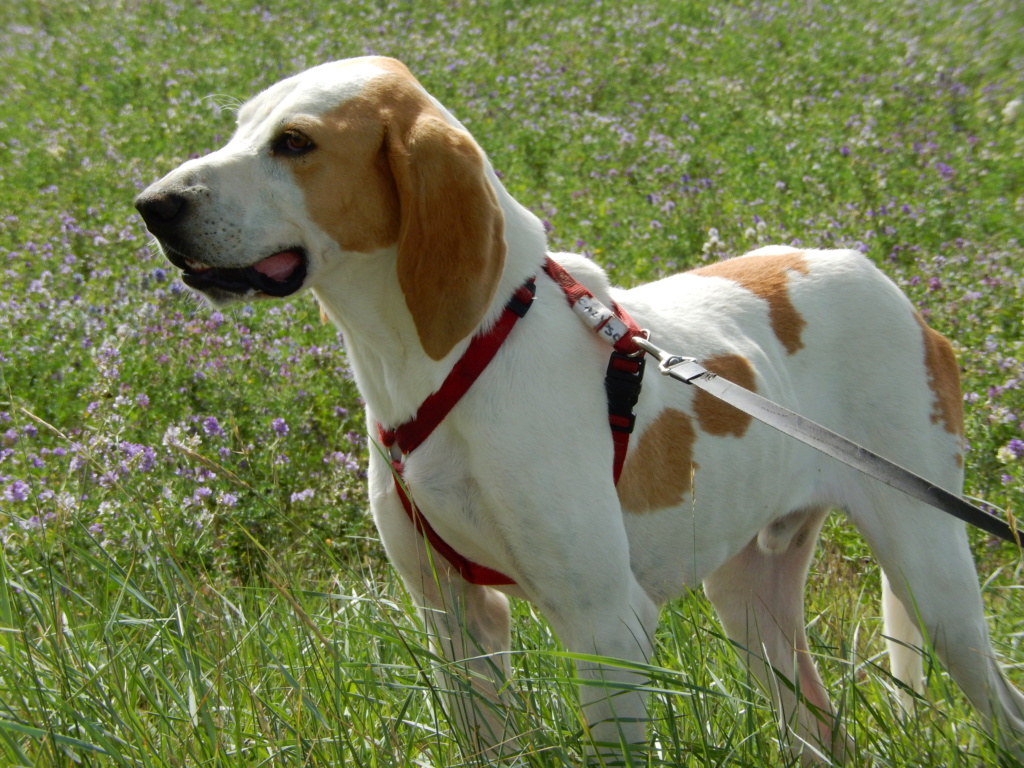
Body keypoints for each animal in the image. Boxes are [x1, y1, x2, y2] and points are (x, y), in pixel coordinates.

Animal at [136, 55, 1024, 765]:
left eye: (295, 143)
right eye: (241, 125)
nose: (151, 205)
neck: (449, 361)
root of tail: (885, 283)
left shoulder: (608, 629)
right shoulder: (458, 624)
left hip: (933, 572)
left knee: (1000, 706)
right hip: (749, 598)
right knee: (821, 729)